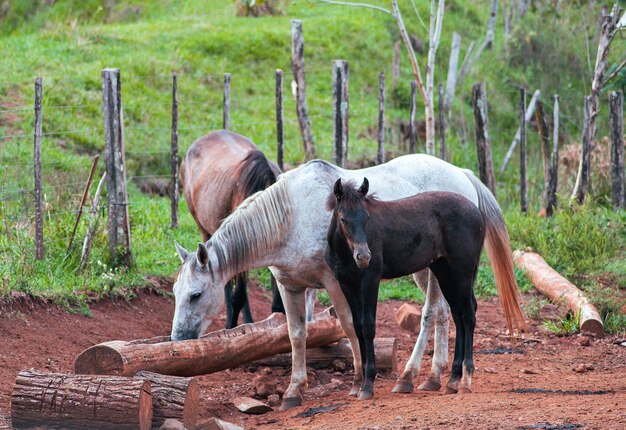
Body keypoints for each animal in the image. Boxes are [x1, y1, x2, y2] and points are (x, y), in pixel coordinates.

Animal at [169, 155, 520, 410]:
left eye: (196, 295)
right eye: (175, 293)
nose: (178, 340)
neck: (292, 216)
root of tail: (462, 173)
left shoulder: (336, 282)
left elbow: (352, 327)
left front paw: (358, 381)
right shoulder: (290, 286)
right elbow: (296, 335)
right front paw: (294, 390)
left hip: (439, 271)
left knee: (433, 313)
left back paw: (410, 376)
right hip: (433, 269)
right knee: (447, 313)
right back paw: (435, 376)